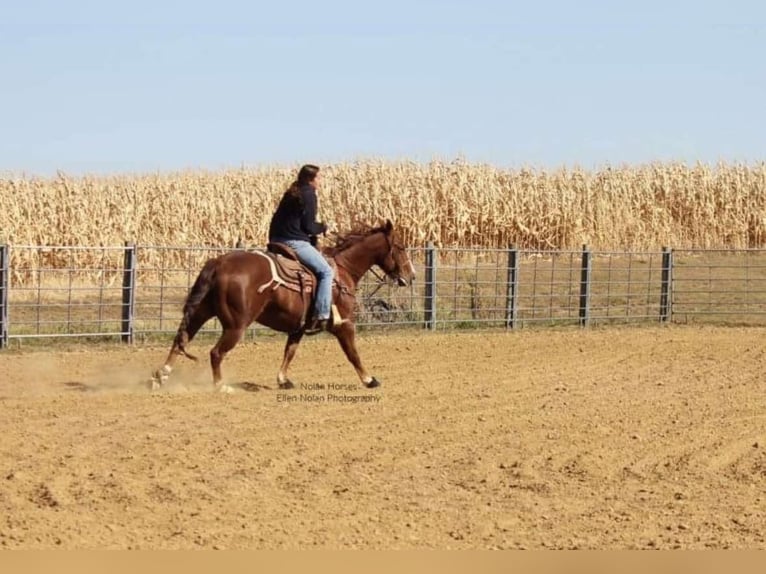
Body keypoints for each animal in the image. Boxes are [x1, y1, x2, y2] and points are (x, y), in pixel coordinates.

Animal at [149, 222, 414, 396]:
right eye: (401, 247)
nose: (410, 276)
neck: (342, 270)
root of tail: (219, 262)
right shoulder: (344, 324)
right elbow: (353, 354)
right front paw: (369, 380)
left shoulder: (298, 328)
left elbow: (290, 352)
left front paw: (283, 380)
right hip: (235, 326)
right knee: (215, 353)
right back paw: (221, 386)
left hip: (201, 312)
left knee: (180, 339)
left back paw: (161, 376)